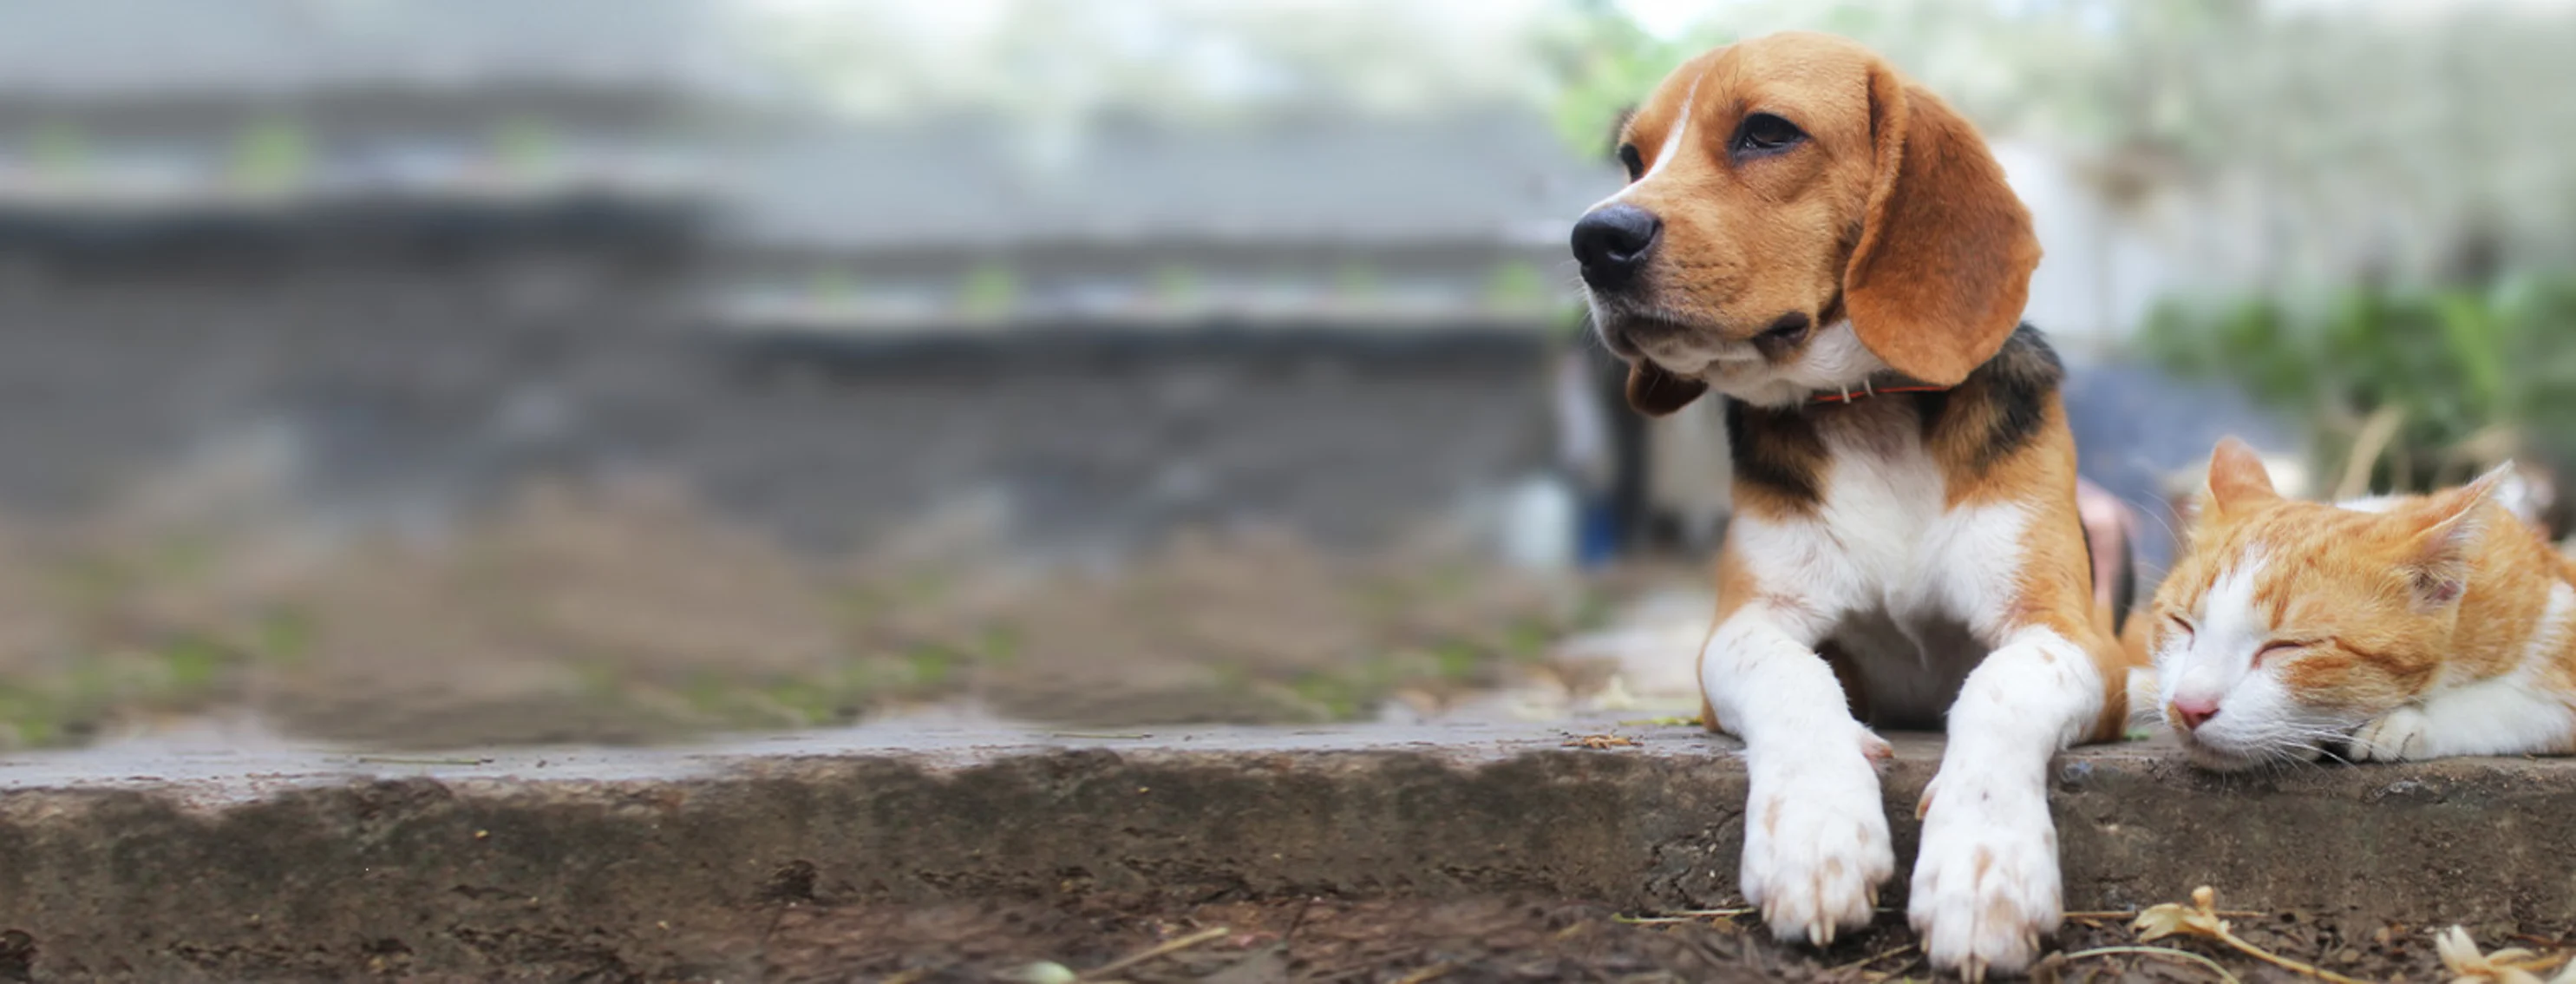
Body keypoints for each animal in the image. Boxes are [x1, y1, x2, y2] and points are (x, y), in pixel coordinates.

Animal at [1566, 32, 2133, 984]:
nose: (1593, 239)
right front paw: (1815, 831)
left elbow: (2000, 686)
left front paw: (1984, 867)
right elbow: (1794, 677)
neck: (1868, 410)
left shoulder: (2072, 635)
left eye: (1766, 131)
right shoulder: (1744, 627)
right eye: (1631, 160)